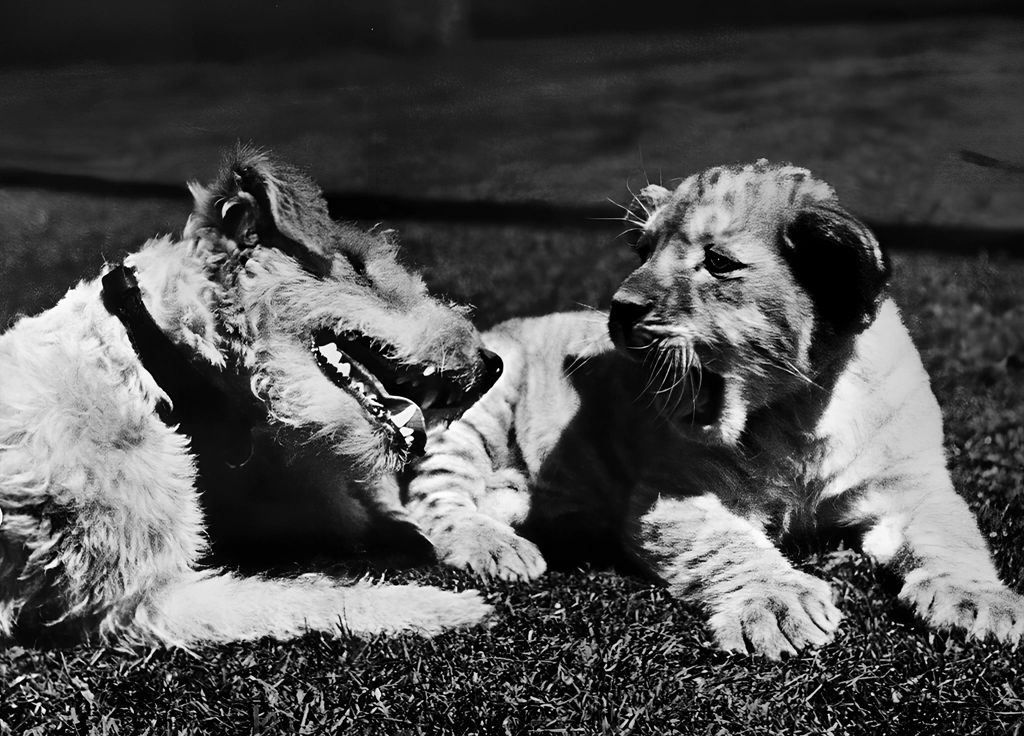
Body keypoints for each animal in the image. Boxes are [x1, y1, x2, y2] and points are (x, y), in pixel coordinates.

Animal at [0, 146, 501, 646]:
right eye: (359, 268)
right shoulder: (140, 600)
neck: (152, 369)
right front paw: (448, 606)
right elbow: (310, 598)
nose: (492, 365)